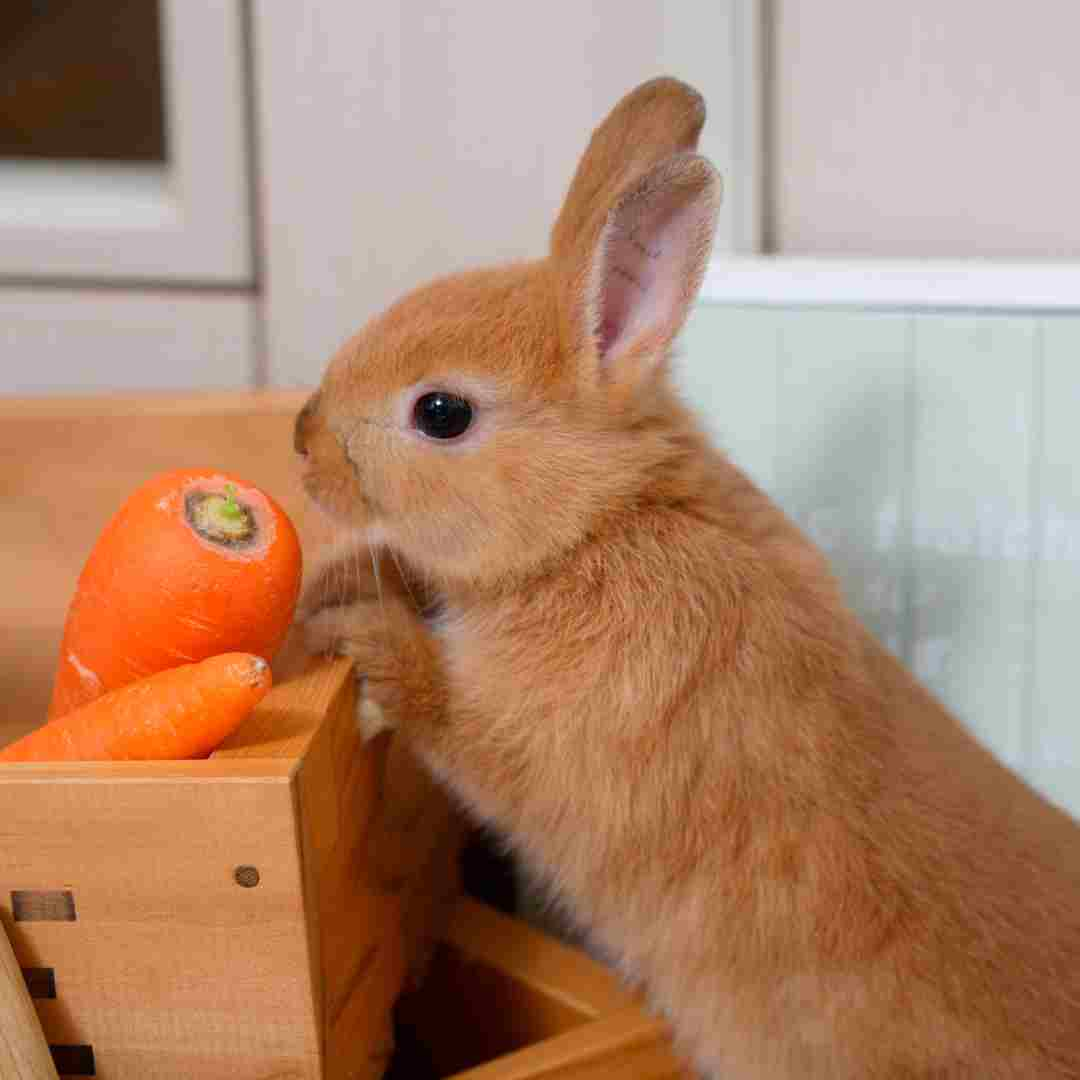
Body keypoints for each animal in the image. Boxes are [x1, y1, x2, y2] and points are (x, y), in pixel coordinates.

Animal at [291, 79, 1080, 1075]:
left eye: (441, 413)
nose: (302, 439)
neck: (600, 523)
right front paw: (338, 581)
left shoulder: (550, 742)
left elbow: (452, 721)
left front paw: (361, 633)